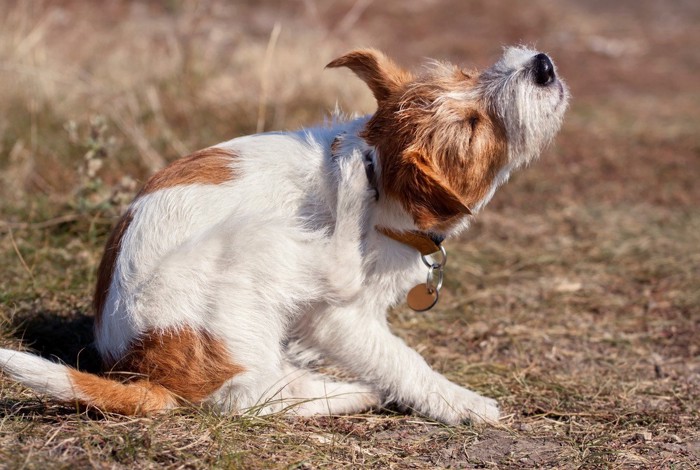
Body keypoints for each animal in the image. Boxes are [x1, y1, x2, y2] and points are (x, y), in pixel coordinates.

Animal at [0, 46, 568, 424]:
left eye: (467, 74)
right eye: (473, 125)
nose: (542, 64)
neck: (384, 179)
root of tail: (146, 371)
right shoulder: (340, 319)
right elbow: (401, 359)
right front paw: (462, 402)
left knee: (268, 389)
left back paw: (347, 389)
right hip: (255, 240)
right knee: (247, 395)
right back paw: (348, 185)